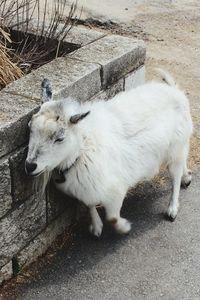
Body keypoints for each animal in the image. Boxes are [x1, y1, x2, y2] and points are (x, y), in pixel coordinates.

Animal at [25, 71, 192, 237]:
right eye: (30, 127)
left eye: (60, 138)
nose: (30, 166)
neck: (82, 148)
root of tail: (175, 91)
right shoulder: (87, 188)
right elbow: (90, 204)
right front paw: (96, 227)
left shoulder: (114, 189)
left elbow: (112, 217)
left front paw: (125, 227)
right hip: (178, 147)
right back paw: (187, 177)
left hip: (175, 147)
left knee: (175, 177)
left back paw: (172, 208)